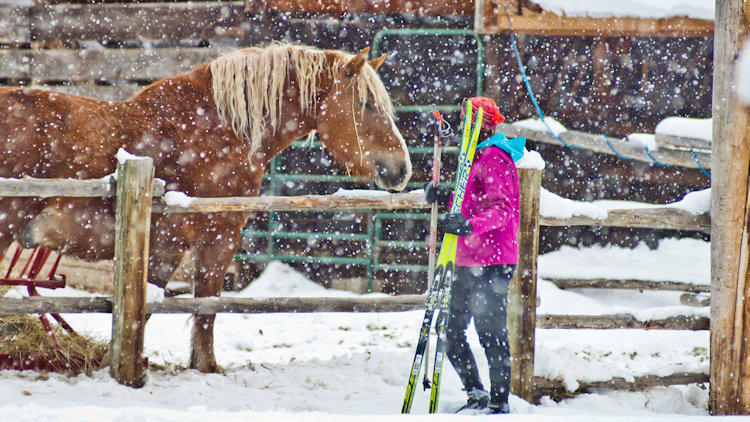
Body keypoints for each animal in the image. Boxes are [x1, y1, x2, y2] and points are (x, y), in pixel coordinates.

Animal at [0, 43, 414, 372]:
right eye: (364, 103)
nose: (402, 168)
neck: (222, 129)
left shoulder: (163, 250)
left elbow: (145, 310)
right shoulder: (218, 239)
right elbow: (205, 309)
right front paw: (204, 367)